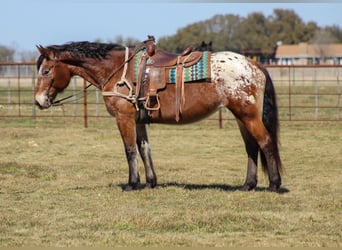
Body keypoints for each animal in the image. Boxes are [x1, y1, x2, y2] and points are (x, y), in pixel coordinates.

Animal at [33, 38, 282, 191]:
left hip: (248, 116)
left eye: (46, 71)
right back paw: (248, 185)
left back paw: (274, 184)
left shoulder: (124, 118)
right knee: (251, 147)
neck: (118, 70)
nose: (39, 101)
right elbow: (145, 149)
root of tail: (254, 65)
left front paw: (132, 183)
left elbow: (130, 150)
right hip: (242, 117)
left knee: (265, 142)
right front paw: (150, 182)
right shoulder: (138, 120)